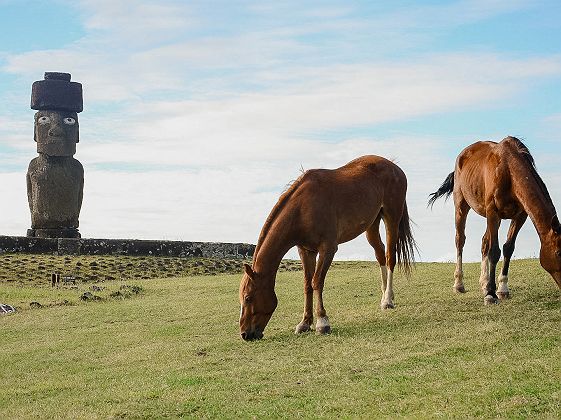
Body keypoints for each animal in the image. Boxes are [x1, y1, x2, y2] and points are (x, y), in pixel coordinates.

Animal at [237, 156, 416, 340]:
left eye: (248, 297)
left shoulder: (327, 249)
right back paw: (386, 296)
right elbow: (307, 284)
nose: (244, 334)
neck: (303, 208)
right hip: (372, 224)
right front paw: (305, 323)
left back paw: (388, 300)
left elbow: (317, 282)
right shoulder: (306, 251)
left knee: (390, 257)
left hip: (391, 217)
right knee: (380, 255)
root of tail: (394, 166)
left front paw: (322, 322)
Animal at [428, 136, 560, 304]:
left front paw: (502, 288)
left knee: (484, 242)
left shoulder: (519, 216)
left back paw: (484, 283)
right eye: (558, 253)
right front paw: (491, 294)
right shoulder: (493, 212)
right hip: (461, 206)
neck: (509, 171)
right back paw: (459, 284)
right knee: (460, 240)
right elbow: (494, 251)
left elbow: (508, 248)